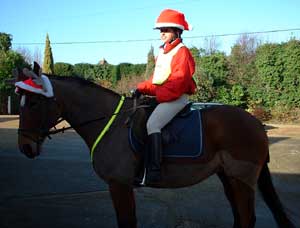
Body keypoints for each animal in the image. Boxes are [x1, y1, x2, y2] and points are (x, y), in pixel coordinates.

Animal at [12, 64, 296, 228]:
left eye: (34, 103)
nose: (25, 146)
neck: (110, 123)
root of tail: (255, 122)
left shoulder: (119, 185)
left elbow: (127, 223)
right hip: (228, 177)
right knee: (240, 217)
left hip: (242, 180)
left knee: (247, 218)